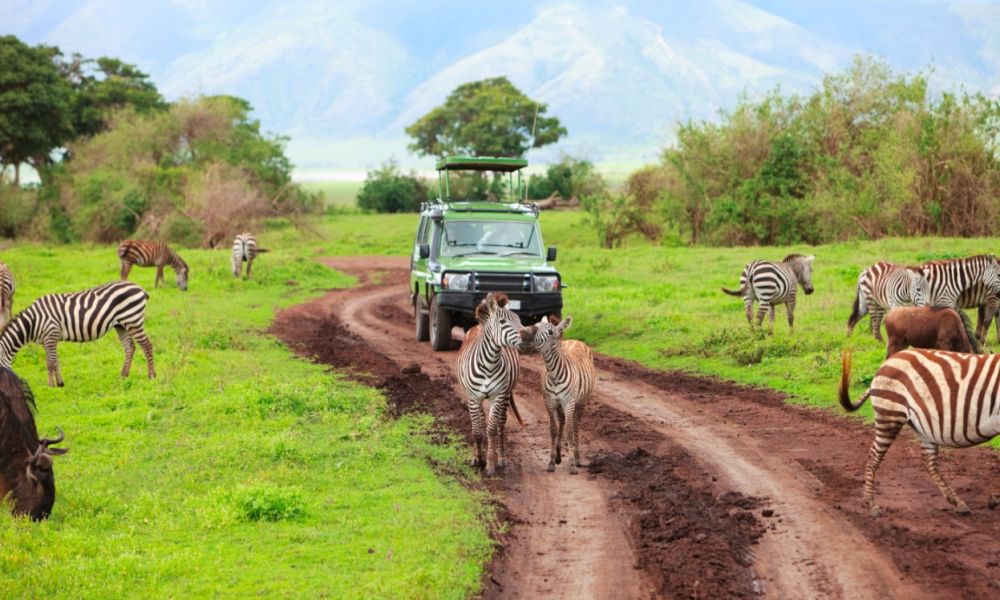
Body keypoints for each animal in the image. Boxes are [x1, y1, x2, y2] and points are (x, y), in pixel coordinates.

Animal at [0, 280, 155, 386]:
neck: (33, 321)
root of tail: (139, 287)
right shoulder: (48, 340)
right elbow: (55, 361)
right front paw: (60, 383)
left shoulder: (51, 335)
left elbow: (50, 363)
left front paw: (50, 385)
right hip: (121, 324)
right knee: (129, 347)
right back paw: (123, 375)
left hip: (133, 319)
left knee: (147, 345)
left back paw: (152, 376)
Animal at [458, 292, 528, 476]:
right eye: (503, 322)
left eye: (519, 320)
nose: (528, 337)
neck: (489, 364)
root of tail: (478, 326)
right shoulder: (473, 397)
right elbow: (477, 430)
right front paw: (477, 459)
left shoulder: (498, 396)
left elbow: (491, 429)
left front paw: (489, 464)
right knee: (481, 422)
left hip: (505, 395)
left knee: (500, 425)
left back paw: (501, 458)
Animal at [524, 314, 592, 474]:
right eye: (536, 325)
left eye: (550, 332)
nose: (526, 335)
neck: (554, 374)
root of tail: (576, 340)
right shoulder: (549, 402)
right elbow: (553, 430)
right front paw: (551, 462)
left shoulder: (569, 403)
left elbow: (569, 432)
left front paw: (572, 465)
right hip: (561, 405)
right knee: (562, 421)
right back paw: (560, 456)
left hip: (581, 401)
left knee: (575, 425)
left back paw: (577, 458)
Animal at [840, 352, 1000, 516]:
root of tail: (889, 361)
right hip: (890, 415)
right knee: (873, 456)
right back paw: (871, 504)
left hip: (924, 428)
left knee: (928, 461)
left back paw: (958, 502)